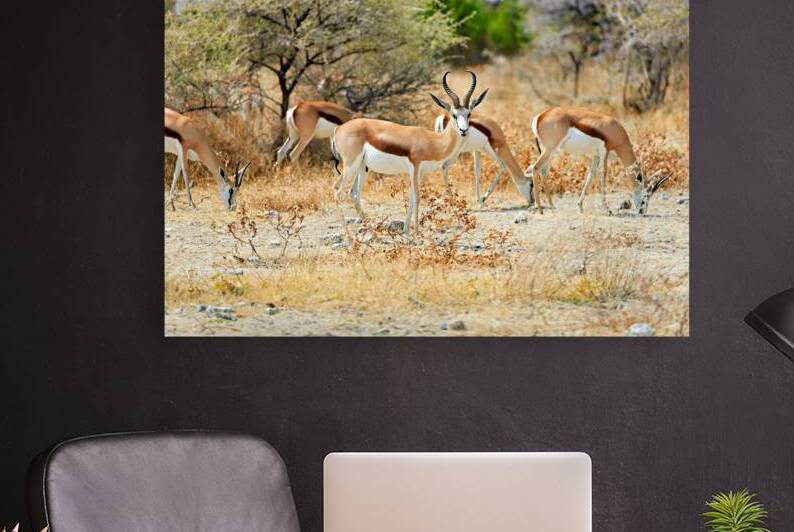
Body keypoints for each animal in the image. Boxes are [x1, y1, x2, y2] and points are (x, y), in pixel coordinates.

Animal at [331, 71, 488, 234]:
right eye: (454, 115)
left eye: (469, 114)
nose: (464, 130)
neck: (432, 141)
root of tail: (338, 129)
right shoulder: (414, 168)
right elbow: (417, 197)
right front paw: (417, 232)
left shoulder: (420, 172)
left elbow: (411, 198)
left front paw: (406, 230)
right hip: (351, 165)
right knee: (338, 192)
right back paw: (348, 235)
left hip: (362, 167)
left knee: (353, 193)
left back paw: (371, 231)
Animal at [527, 106, 669, 215]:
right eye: (645, 198)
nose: (642, 211)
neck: (615, 130)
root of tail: (541, 115)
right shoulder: (604, 152)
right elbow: (602, 176)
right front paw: (608, 210)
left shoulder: (595, 156)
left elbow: (590, 177)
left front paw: (580, 207)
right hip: (550, 150)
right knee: (535, 168)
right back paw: (540, 209)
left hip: (551, 151)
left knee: (543, 171)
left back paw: (552, 206)